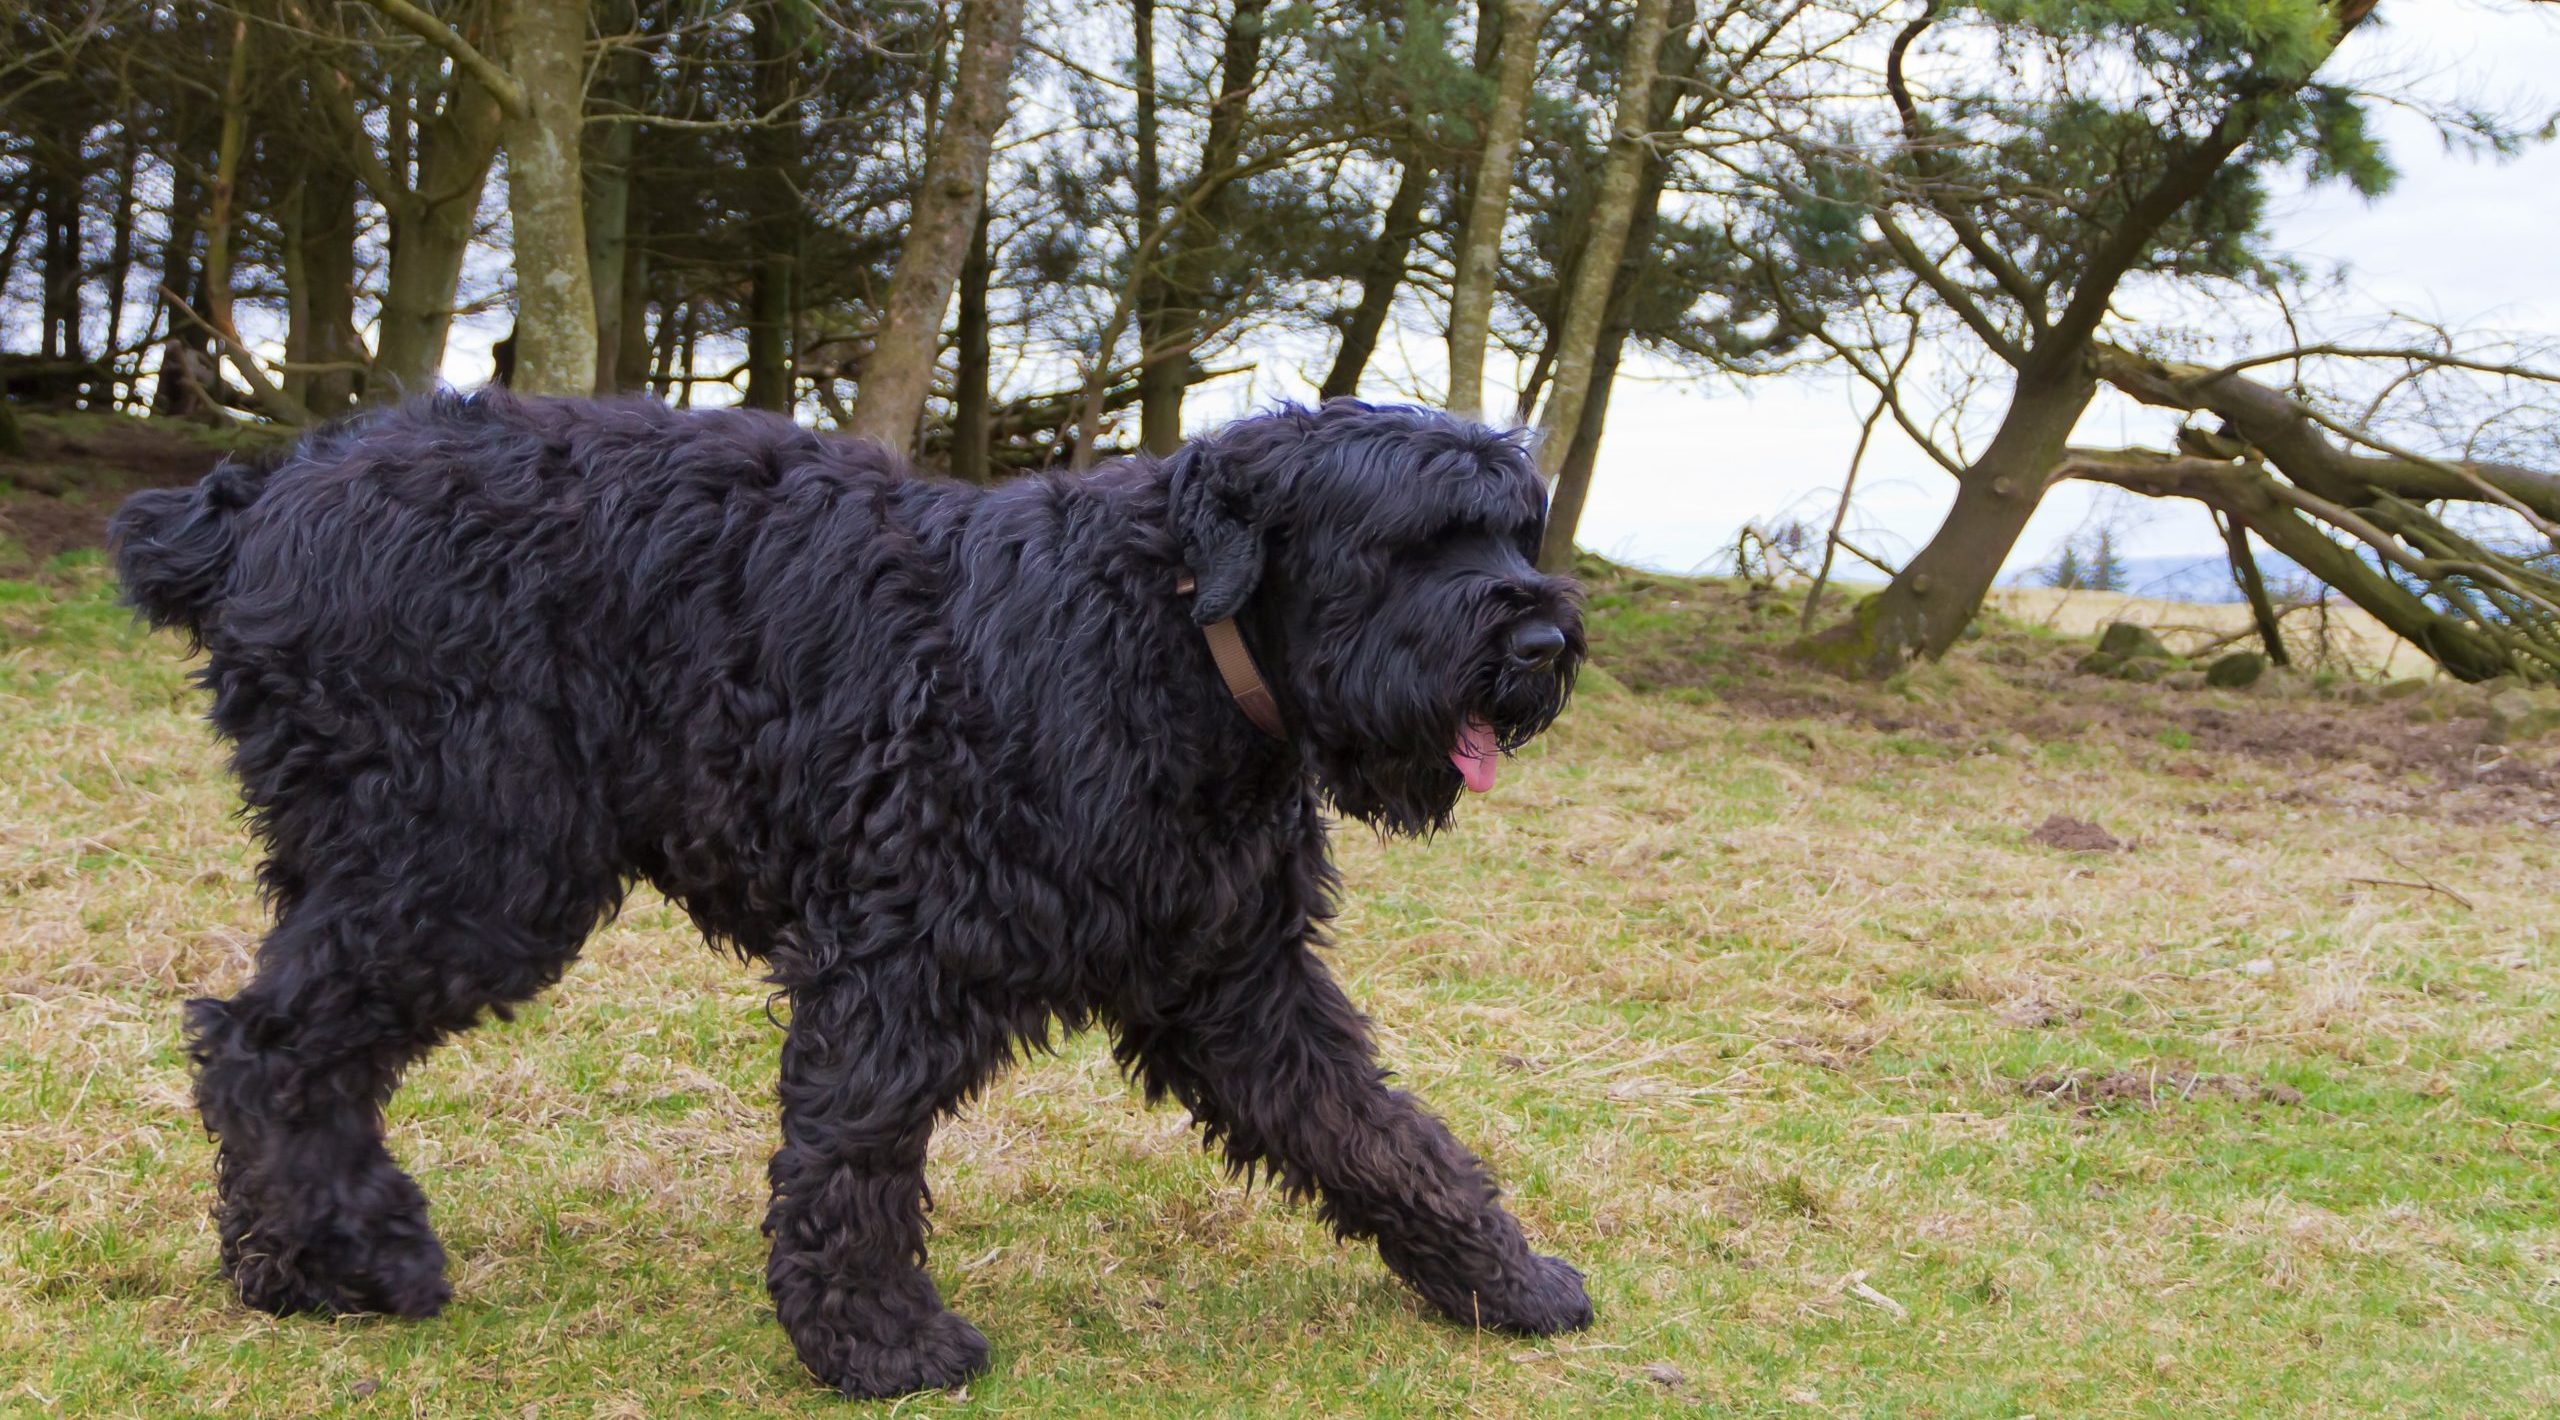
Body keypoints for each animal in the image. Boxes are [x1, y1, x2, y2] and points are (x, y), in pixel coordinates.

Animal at [115, 391, 1576, 1402]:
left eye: (1516, 528)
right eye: (1411, 543)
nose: (1544, 638)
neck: (1169, 642)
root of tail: (260, 504)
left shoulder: (1239, 984)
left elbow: (1379, 1135)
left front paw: (1502, 1279)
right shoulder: (907, 948)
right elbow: (855, 1149)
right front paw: (876, 1344)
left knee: (288, 1049)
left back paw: (300, 1257)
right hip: (467, 868)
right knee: (268, 1046)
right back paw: (340, 1263)